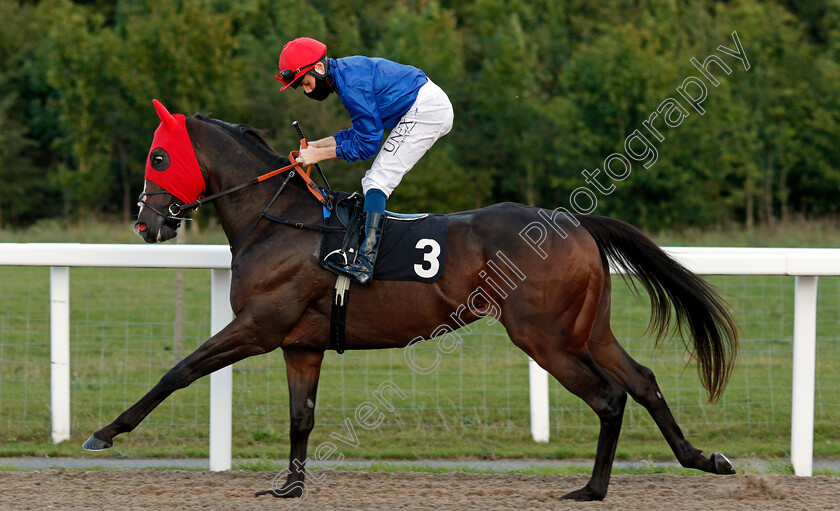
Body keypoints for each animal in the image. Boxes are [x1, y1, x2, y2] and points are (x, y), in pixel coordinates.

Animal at [83, 105, 736, 504]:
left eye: (159, 157)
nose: (145, 222)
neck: (277, 221)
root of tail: (575, 222)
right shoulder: (300, 344)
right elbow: (301, 417)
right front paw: (290, 486)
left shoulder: (260, 325)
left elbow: (180, 370)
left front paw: (105, 433)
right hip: (587, 329)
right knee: (643, 380)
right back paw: (702, 458)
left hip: (545, 337)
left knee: (609, 395)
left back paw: (593, 489)